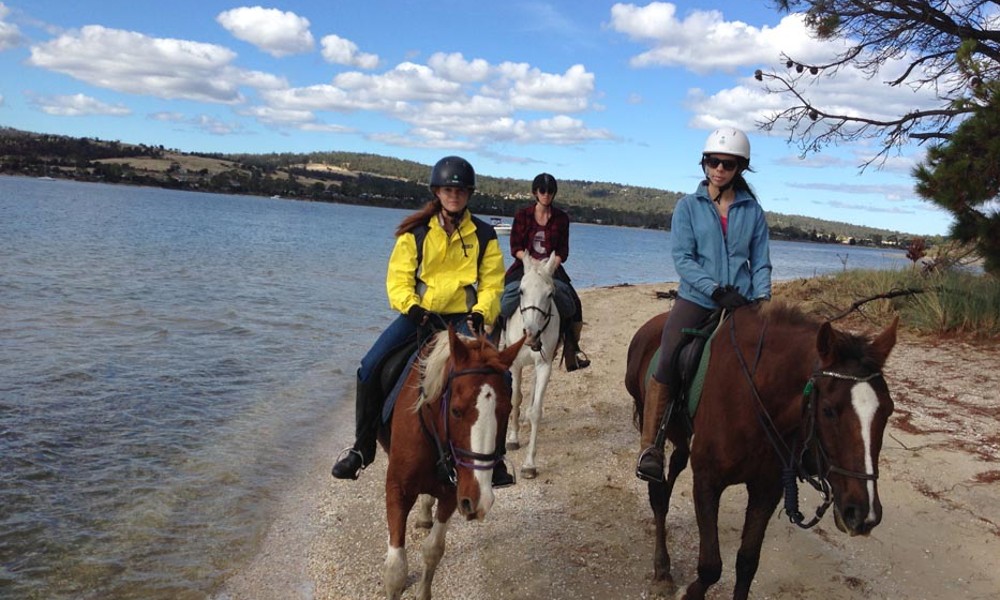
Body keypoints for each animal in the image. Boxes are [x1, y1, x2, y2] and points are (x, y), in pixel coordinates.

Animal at [378, 328, 528, 600]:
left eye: (506, 410)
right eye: (456, 411)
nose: (480, 500)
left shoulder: (452, 492)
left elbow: (433, 550)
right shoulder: (397, 489)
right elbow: (396, 571)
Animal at [624, 304, 900, 600]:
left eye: (888, 410)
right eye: (828, 410)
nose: (862, 514)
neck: (751, 398)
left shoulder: (767, 489)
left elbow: (747, 563)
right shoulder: (707, 482)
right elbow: (710, 567)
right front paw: (691, 592)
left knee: (674, 468)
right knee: (658, 495)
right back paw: (662, 570)